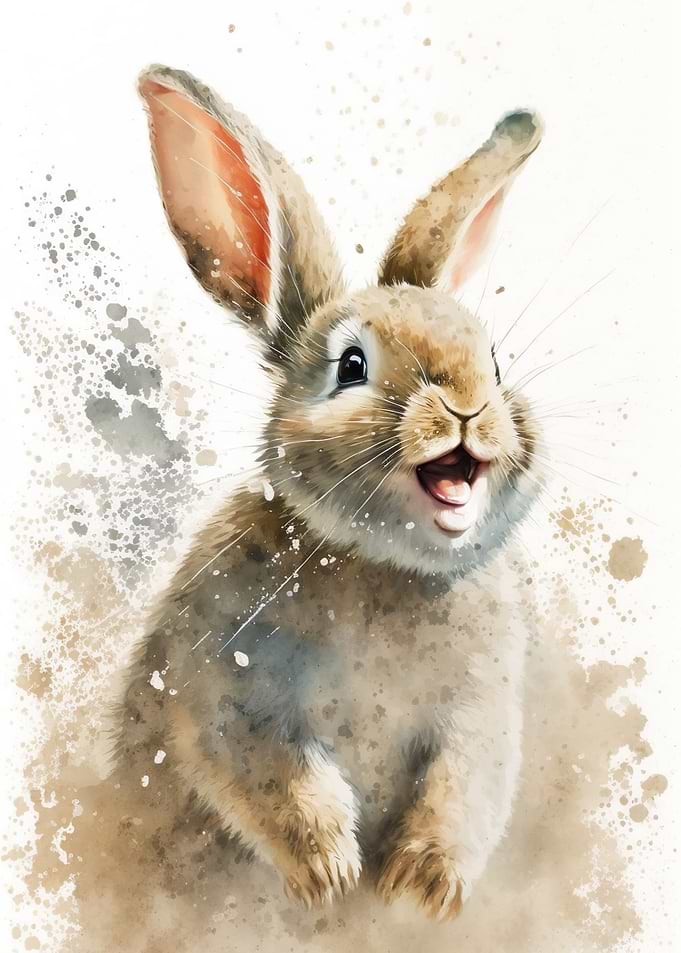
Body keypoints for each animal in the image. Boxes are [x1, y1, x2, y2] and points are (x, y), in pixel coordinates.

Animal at [116, 64, 545, 921]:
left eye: (493, 364)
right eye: (351, 366)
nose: (466, 406)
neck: (384, 564)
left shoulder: (479, 714)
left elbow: (464, 787)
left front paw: (420, 887)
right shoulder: (220, 685)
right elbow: (273, 775)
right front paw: (330, 873)